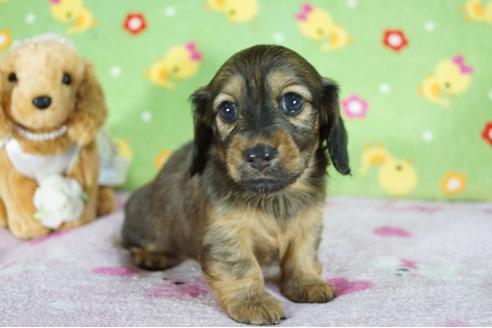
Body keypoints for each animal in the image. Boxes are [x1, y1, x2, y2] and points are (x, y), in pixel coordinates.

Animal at [122, 44, 350, 326]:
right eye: (227, 109)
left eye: (293, 102)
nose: (259, 154)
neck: (274, 197)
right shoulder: (226, 234)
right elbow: (242, 266)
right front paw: (253, 301)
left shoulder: (308, 223)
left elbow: (302, 254)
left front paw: (307, 282)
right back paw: (152, 255)